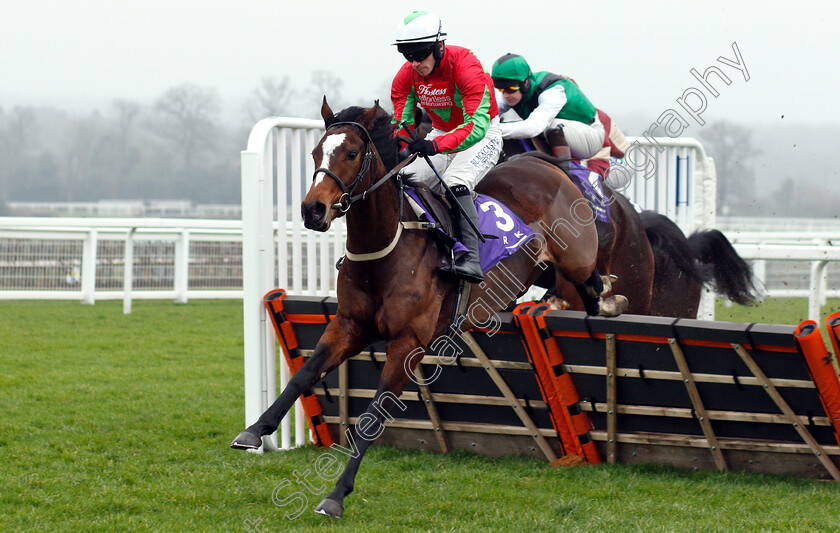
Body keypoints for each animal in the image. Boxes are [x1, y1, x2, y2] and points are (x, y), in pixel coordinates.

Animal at [228, 98, 624, 516]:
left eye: (351, 153)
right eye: (316, 153)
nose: (313, 210)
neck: (386, 247)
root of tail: (545, 165)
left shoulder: (409, 342)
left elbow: (374, 415)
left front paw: (335, 496)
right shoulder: (348, 325)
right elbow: (303, 375)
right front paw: (253, 431)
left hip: (574, 259)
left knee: (591, 284)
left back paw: (611, 299)